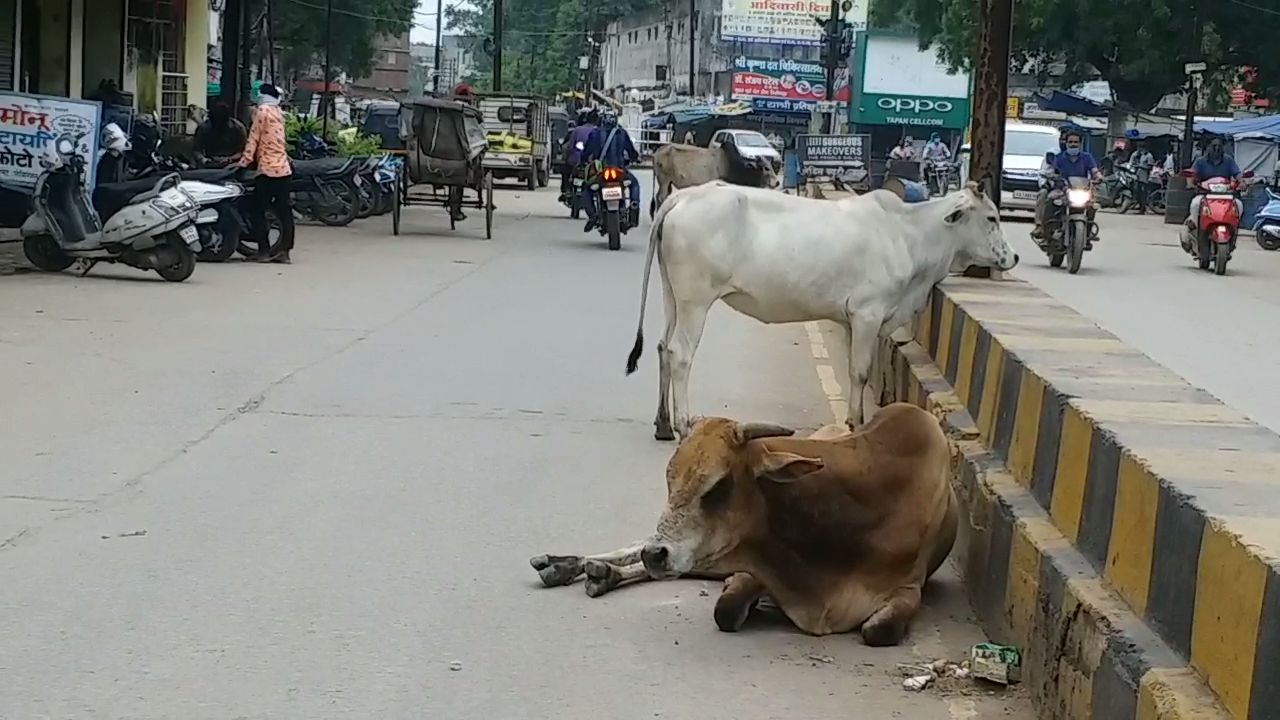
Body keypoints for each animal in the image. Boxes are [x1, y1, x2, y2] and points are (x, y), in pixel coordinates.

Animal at [524, 404, 957, 645]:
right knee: (640, 550)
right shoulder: (749, 571)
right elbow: (726, 611)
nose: (658, 553)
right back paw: (570, 565)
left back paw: (600, 573)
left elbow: (878, 631)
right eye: (669, 478)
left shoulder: (907, 590)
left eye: (719, 485)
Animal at [624, 180, 1013, 438]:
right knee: (680, 353)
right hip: (696, 301)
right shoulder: (867, 314)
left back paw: (662, 424)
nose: (1014, 257)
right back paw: (683, 423)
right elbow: (860, 371)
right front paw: (856, 422)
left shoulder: (863, 320)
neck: (910, 235)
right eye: (991, 218)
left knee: (662, 346)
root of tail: (683, 195)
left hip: (672, 295)